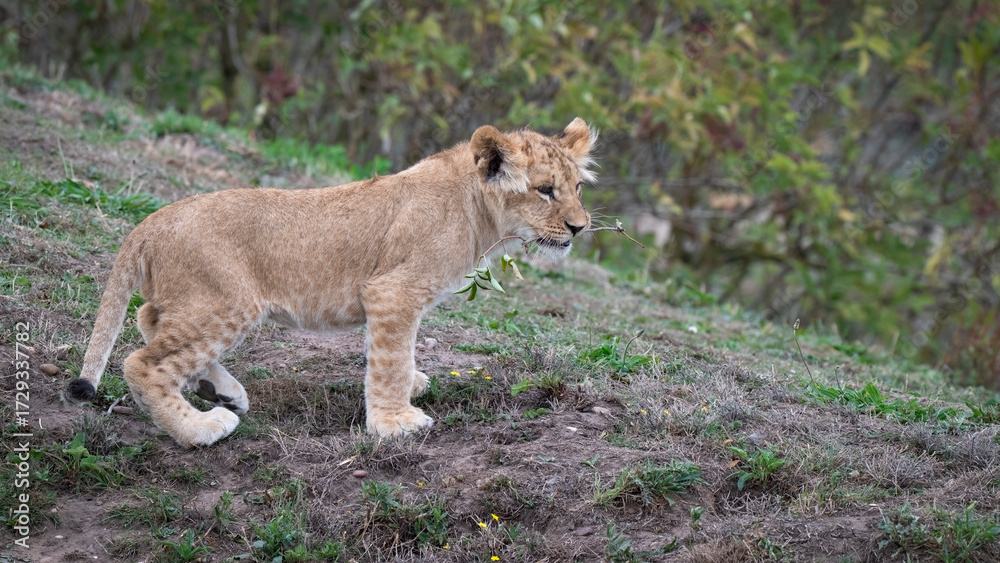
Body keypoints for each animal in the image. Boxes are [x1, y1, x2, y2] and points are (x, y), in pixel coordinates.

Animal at [65, 118, 596, 448]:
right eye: (544, 191)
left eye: (576, 188)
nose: (580, 227)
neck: (478, 209)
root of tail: (152, 220)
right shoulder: (393, 291)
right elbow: (390, 359)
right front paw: (395, 423)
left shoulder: (389, 298)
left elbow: (393, 354)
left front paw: (410, 385)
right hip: (225, 303)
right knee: (143, 362)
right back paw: (201, 427)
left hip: (197, 302)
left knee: (147, 317)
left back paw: (221, 389)